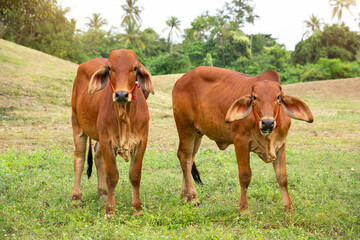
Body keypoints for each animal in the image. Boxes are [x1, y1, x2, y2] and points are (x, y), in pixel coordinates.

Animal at [71, 48, 154, 216]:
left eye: (135, 68)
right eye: (110, 68)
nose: (121, 94)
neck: (125, 116)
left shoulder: (142, 141)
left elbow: (135, 175)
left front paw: (137, 209)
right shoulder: (106, 141)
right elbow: (112, 176)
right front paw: (110, 210)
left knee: (97, 157)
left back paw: (102, 192)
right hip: (77, 125)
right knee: (79, 159)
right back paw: (76, 197)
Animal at [172, 66, 312, 213]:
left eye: (278, 97)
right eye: (255, 97)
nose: (268, 123)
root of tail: (181, 80)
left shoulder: (281, 144)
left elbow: (282, 177)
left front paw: (289, 208)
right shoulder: (240, 142)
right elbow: (245, 176)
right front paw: (244, 209)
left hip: (197, 133)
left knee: (187, 158)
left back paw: (185, 197)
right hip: (185, 127)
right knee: (185, 158)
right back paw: (193, 198)